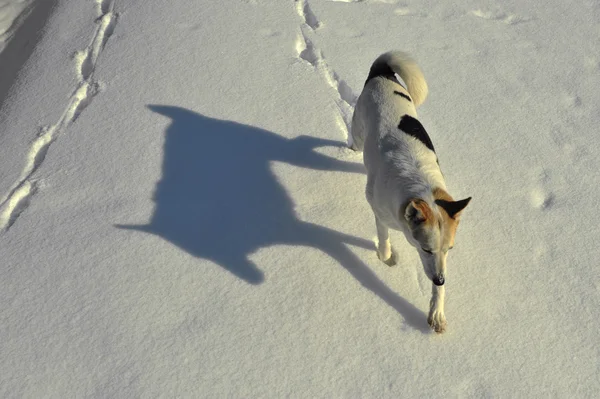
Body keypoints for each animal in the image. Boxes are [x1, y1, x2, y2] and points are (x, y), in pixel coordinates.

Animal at [350, 51, 472, 332]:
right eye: (426, 249)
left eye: (450, 249)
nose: (440, 280)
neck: (420, 186)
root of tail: (382, 72)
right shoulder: (380, 213)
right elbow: (383, 238)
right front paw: (385, 260)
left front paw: (437, 311)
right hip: (358, 132)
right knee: (353, 140)